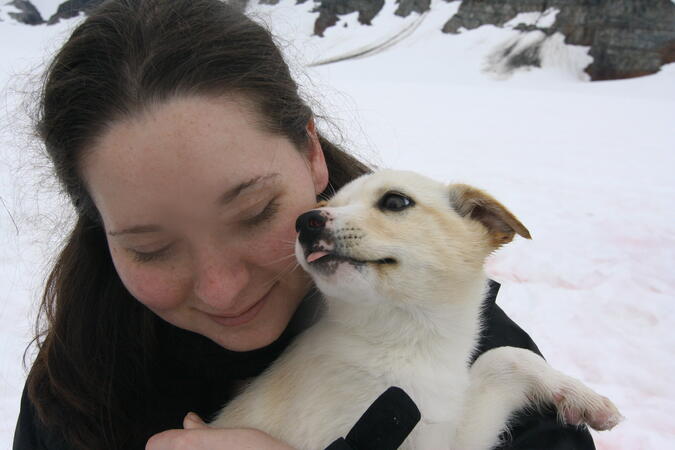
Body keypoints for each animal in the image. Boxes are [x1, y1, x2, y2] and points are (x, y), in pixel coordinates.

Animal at [213, 171, 624, 448]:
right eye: (323, 207)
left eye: (395, 202)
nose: (305, 222)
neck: (405, 341)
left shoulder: (445, 432)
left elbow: (504, 358)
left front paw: (581, 397)